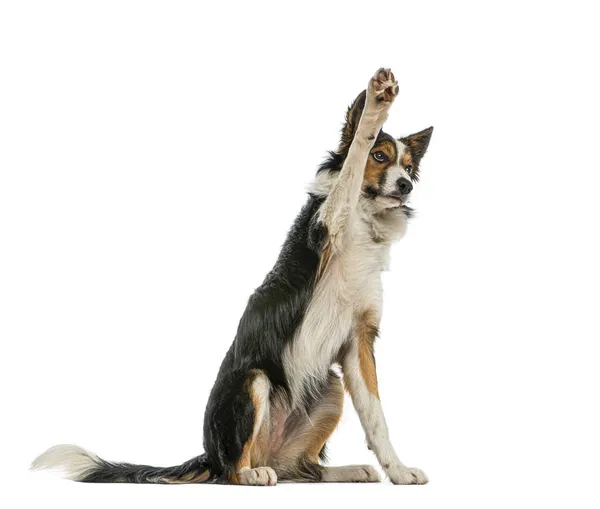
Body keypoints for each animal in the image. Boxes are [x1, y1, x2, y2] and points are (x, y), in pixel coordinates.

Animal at [31, 67, 432, 484]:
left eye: (408, 167)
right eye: (380, 156)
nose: (406, 185)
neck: (365, 221)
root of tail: (211, 455)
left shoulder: (359, 340)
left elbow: (376, 417)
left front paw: (399, 471)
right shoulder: (326, 224)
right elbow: (349, 169)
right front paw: (377, 104)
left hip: (330, 388)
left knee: (302, 468)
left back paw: (349, 470)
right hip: (253, 379)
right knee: (236, 471)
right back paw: (253, 473)